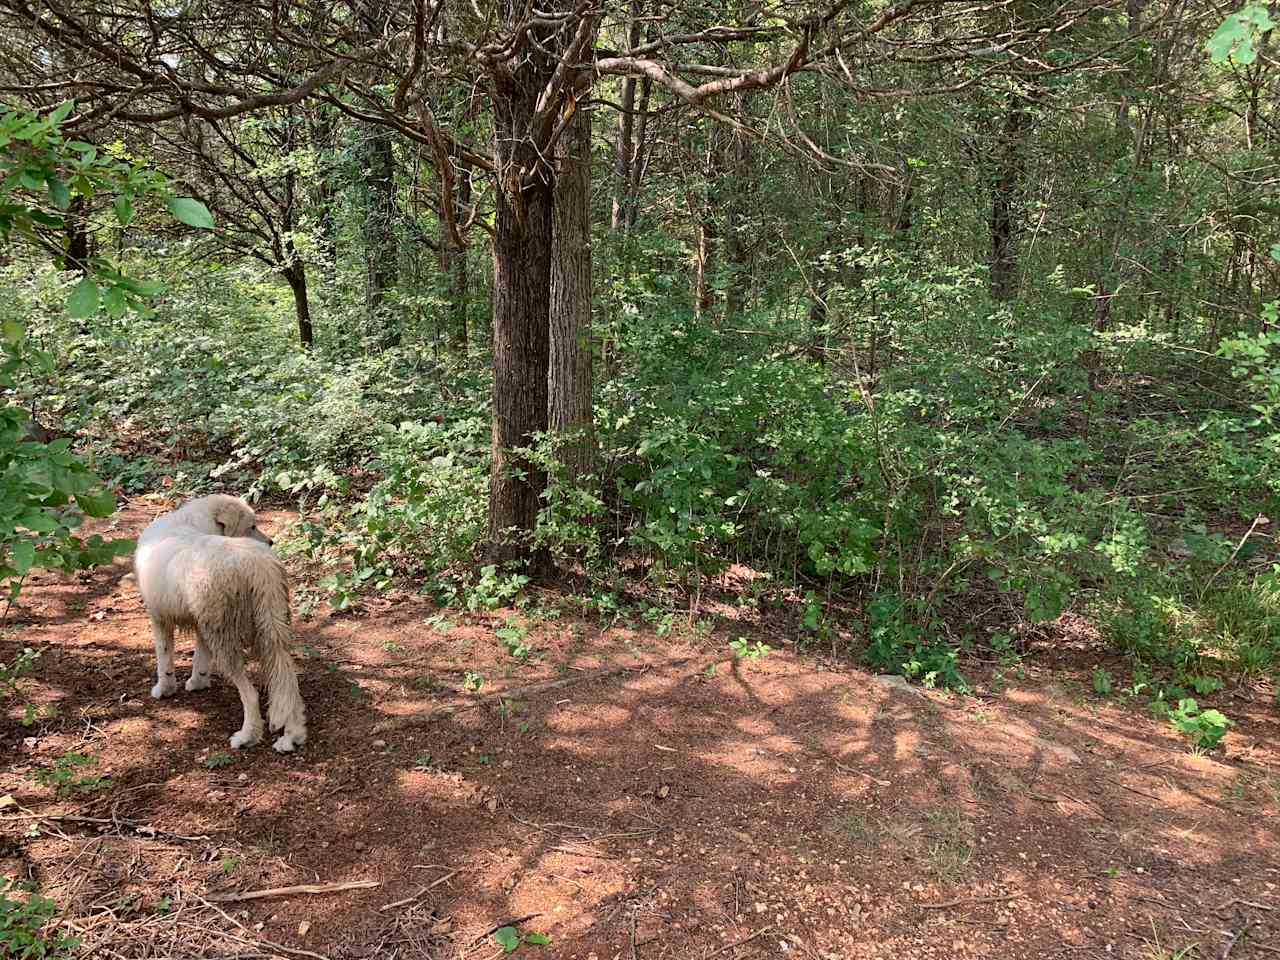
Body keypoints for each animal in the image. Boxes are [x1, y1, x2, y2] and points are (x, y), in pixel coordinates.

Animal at [134, 499, 307, 757]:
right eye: (251, 526)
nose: (271, 542)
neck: (191, 522)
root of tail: (258, 566)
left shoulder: (159, 617)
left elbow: (164, 659)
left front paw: (164, 689)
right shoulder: (202, 622)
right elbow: (200, 656)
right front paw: (198, 682)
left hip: (227, 639)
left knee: (251, 694)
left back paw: (246, 737)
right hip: (270, 630)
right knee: (286, 682)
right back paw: (292, 737)